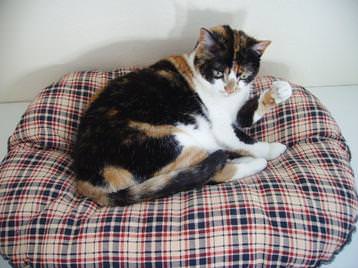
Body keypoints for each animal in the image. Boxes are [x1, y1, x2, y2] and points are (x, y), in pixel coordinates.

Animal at [71, 25, 292, 206]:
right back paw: (254, 163)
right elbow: (245, 141)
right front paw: (271, 150)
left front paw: (279, 91)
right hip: (170, 141)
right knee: (214, 171)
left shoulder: (236, 113)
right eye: (219, 73)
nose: (229, 89)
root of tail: (84, 177)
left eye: (243, 75)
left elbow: (248, 113)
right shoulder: (222, 128)